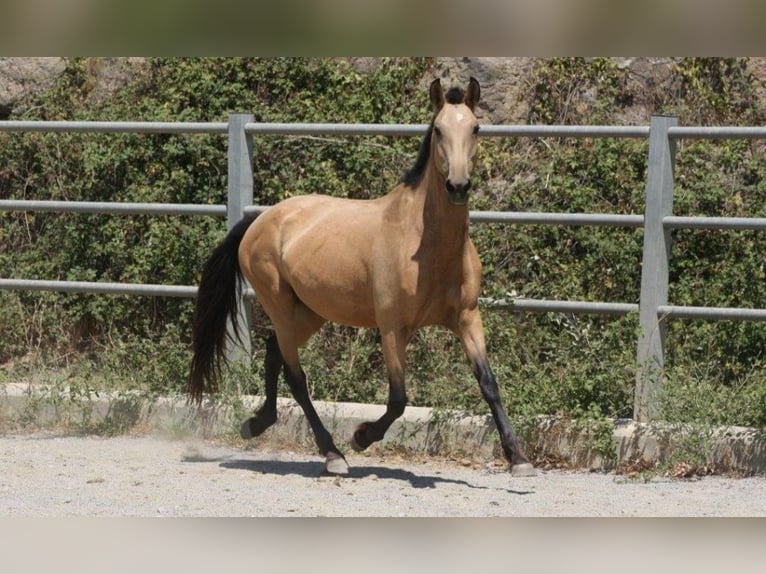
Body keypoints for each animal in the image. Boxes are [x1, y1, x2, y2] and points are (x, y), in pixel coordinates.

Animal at [188, 77, 535, 477]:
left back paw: (258, 423)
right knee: (296, 375)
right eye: (438, 130)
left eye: (476, 128)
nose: (458, 186)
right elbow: (398, 399)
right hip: (279, 304)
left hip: (310, 312)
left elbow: (489, 384)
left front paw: (519, 458)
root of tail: (260, 219)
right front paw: (361, 437)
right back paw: (333, 454)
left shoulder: (467, 318)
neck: (425, 246)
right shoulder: (392, 327)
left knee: (275, 353)